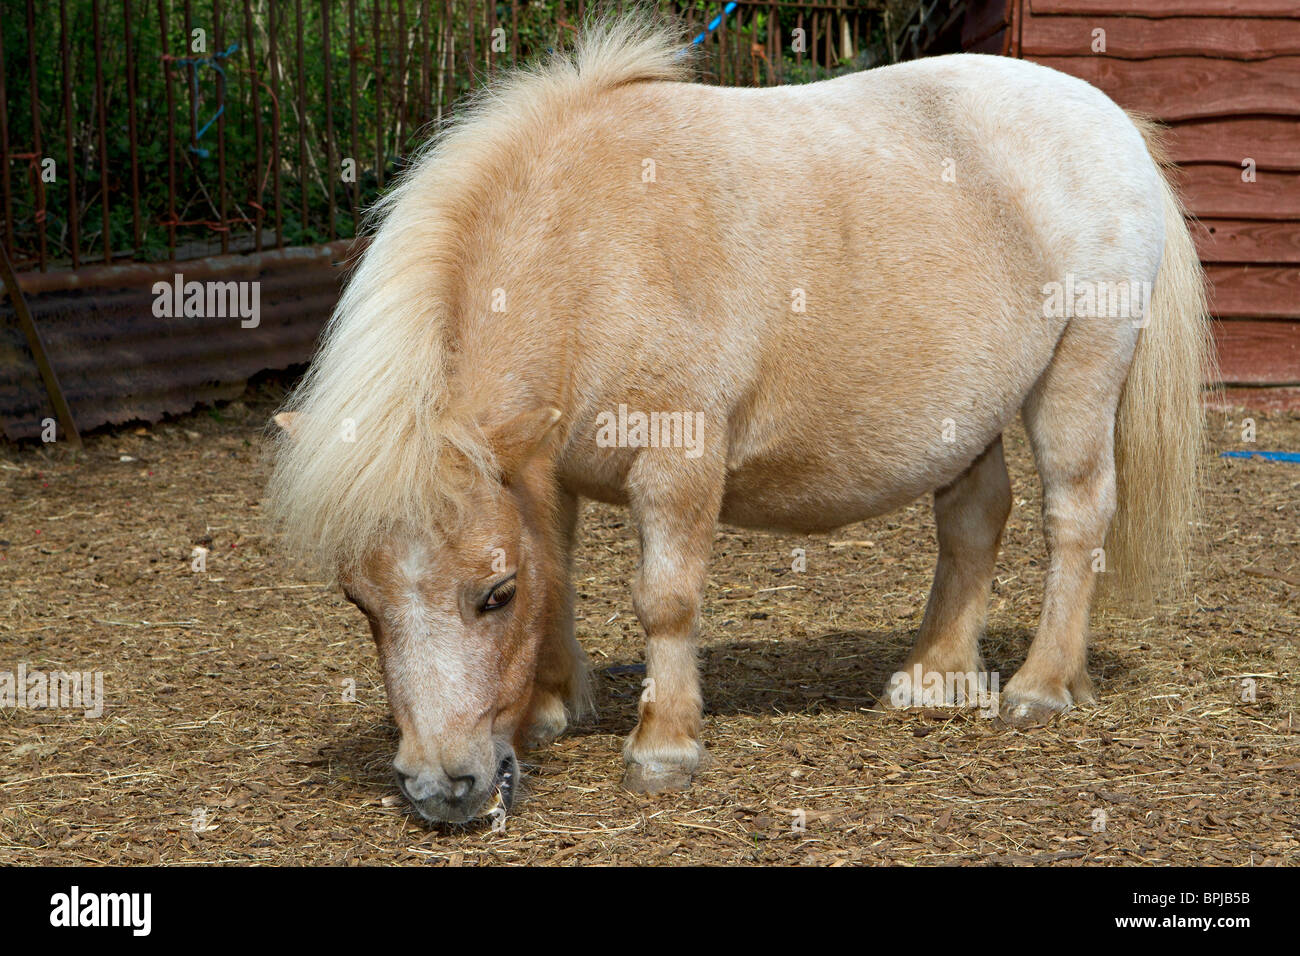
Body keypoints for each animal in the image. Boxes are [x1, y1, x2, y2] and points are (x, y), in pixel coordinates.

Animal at [263, 13, 1206, 822]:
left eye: (494, 596)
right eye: (360, 603)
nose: (440, 790)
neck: (593, 247)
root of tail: (1112, 121)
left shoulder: (679, 464)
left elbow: (666, 599)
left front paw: (663, 746)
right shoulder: (544, 471)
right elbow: (561, 573)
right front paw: (553, 708)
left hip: (1077, 379)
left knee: (1075, 518)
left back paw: (1041, 686)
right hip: (966, 421)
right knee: (975, 519)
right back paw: (933, 676)